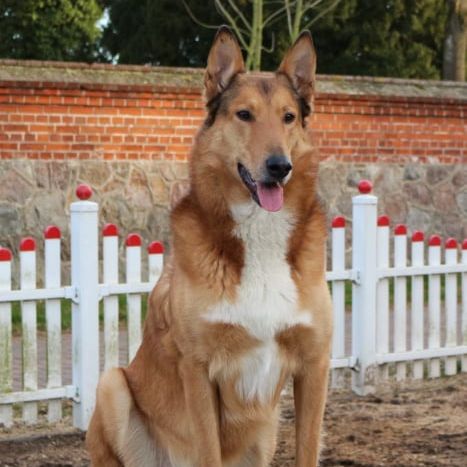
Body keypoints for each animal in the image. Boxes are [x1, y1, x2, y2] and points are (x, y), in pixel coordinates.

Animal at [87, 26, 332, 467]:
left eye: (288, 117)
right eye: (244, 115)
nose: (279, 166)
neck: (259, 234)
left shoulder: (314, 365)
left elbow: (308, 449)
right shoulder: (198, 370)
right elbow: (208, 450)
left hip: (267, 426)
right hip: (111, 384)